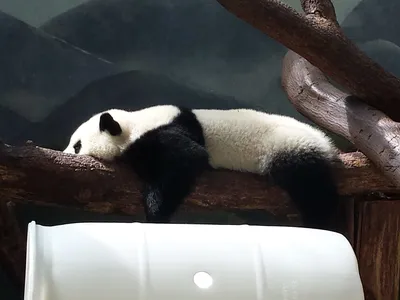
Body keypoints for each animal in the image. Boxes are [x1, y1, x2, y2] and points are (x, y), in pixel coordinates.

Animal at [64, 104, 340, 231]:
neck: (133, 124)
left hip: (289, 146)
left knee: (312, 188)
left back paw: (322, 222)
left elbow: (188, 158)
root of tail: (326, 142)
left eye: (77, 145)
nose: (64, 154)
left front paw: (155, 214)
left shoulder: (165, 133)